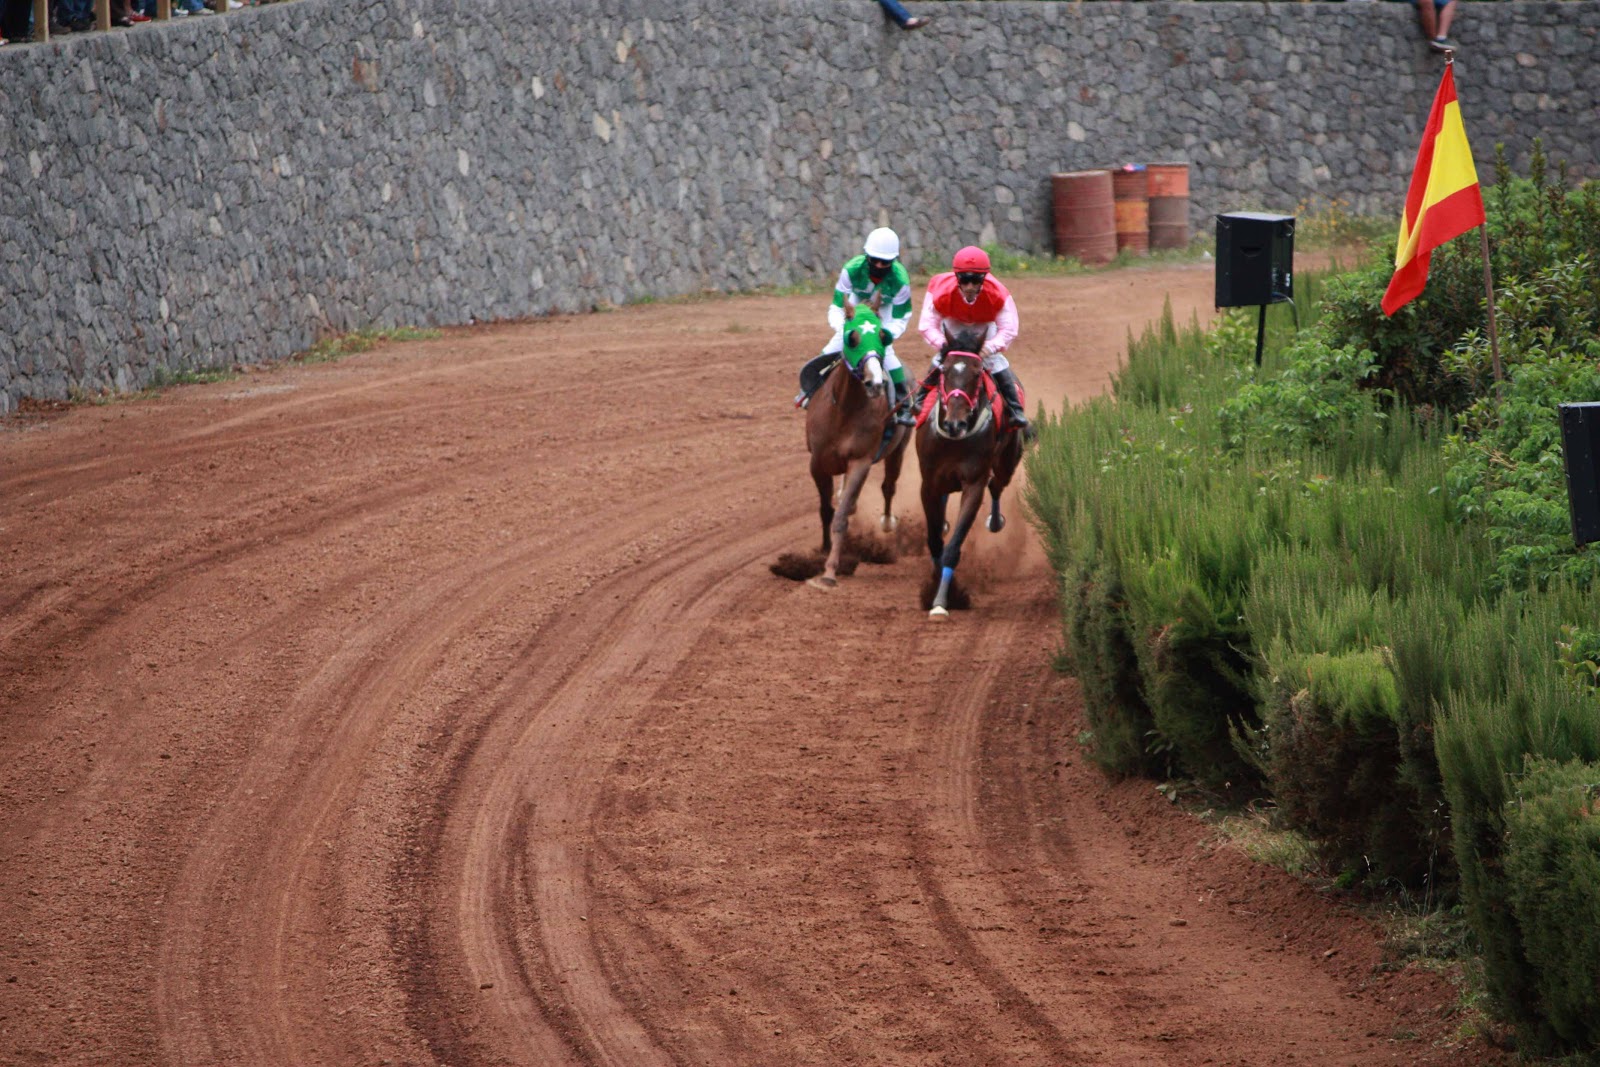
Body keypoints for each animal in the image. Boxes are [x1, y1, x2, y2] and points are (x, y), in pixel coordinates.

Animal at [800, 300, 915, 588]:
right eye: (852, 338)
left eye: (883, 336)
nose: (875, 383)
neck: (845, 409)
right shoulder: (817, 463)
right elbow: (826, 510)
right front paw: (823, 550)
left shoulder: (860, 461)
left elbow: (840, 518)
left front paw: (829, 571)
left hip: (898, 450)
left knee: (888, 486)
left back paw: (886, 522)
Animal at [915, 323, 1024, 617]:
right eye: (944, 371)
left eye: (977, 374)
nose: (955, 423)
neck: (953, 440)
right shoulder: (928, 483)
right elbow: (934, 542)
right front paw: (935, 587)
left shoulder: (974, 483)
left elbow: (953, 548)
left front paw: (943, 600)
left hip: (1007, 461)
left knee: (997, 486)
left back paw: (995, 521)